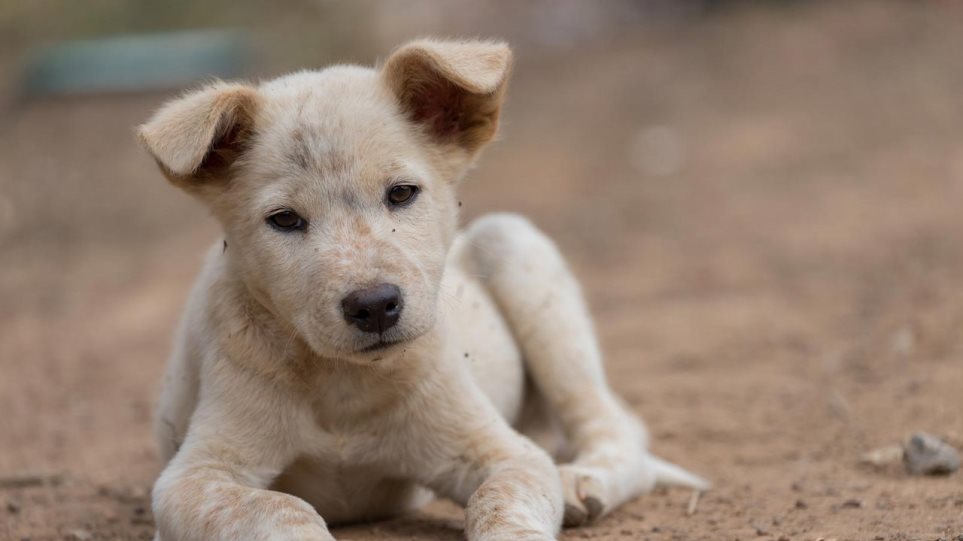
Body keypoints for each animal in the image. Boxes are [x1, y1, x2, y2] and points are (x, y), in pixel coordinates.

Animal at [137, 38, 708, 540]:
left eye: (401, 193)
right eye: (284, 220)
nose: (374, 306)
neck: (344, 385)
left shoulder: (503, 453)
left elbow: (499, 502)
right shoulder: (195, 476)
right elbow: (280, 508)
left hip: (516, 249)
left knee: (617, 430)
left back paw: (582, 483)